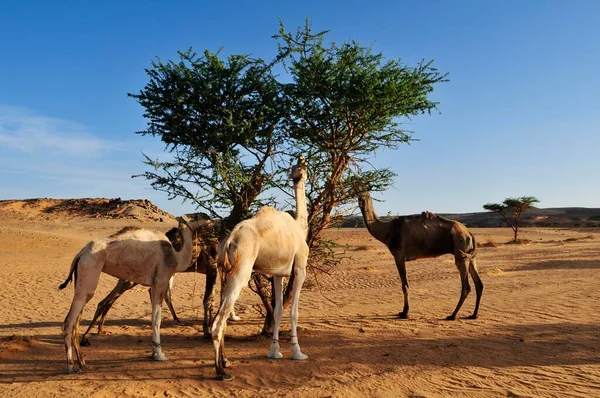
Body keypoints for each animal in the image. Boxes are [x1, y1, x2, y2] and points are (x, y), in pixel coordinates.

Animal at [58, 213, 206, 372]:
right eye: (196, 216)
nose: (208, 216)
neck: (176, 258)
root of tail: (80, 254)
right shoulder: (160, 281)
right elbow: (157, 319)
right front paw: (159, 354)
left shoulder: (154, 284)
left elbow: (154, 317)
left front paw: (154, 352)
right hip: (90, 269)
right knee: (70, 321)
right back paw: (71, 366)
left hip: (82, 277)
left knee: (77, 321)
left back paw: (83, 362)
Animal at [211, 155, 310, 380]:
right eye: (301, 166)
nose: (298, 173)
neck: (300, 228)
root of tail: (229, 241)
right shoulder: (300, 268)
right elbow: (294, 312)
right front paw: (298, 353)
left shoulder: (278, 273)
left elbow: (278, 310)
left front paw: (274, 352)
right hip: (241, 273)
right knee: (218, 323)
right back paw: (221, 372)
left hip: (224, 273)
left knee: (222, 316)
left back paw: (226, 361)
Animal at [356, 190, 482, 320]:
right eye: (358, 192)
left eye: (366, 194)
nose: (361, 200)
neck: (387, 231)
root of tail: (468, 232)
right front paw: (403, 311)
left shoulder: (399, 256)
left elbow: (404, 285)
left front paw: (405, 312)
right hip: (470, 254)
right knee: (478, 283)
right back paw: (473, 314)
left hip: (461, 250)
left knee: (466, 286)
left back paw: (452, 315)